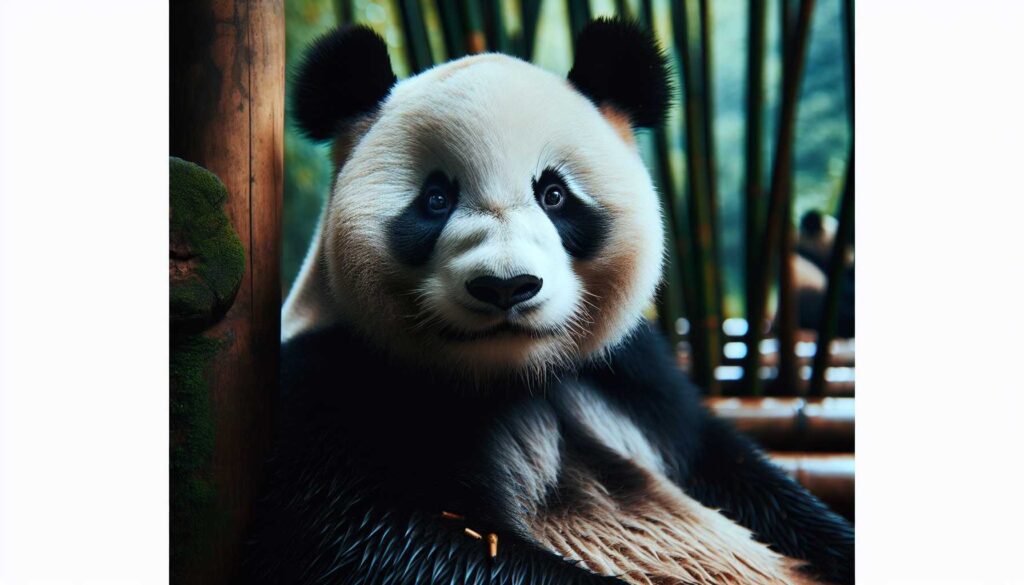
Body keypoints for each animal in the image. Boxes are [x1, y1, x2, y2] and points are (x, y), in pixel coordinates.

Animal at [247, 19, 853, 585]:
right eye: (436, 199)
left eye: (554, 195)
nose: (506, 286)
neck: (514, 373)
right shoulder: (332, 389)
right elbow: (379, 542)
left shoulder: (631, 375)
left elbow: (739, 471)